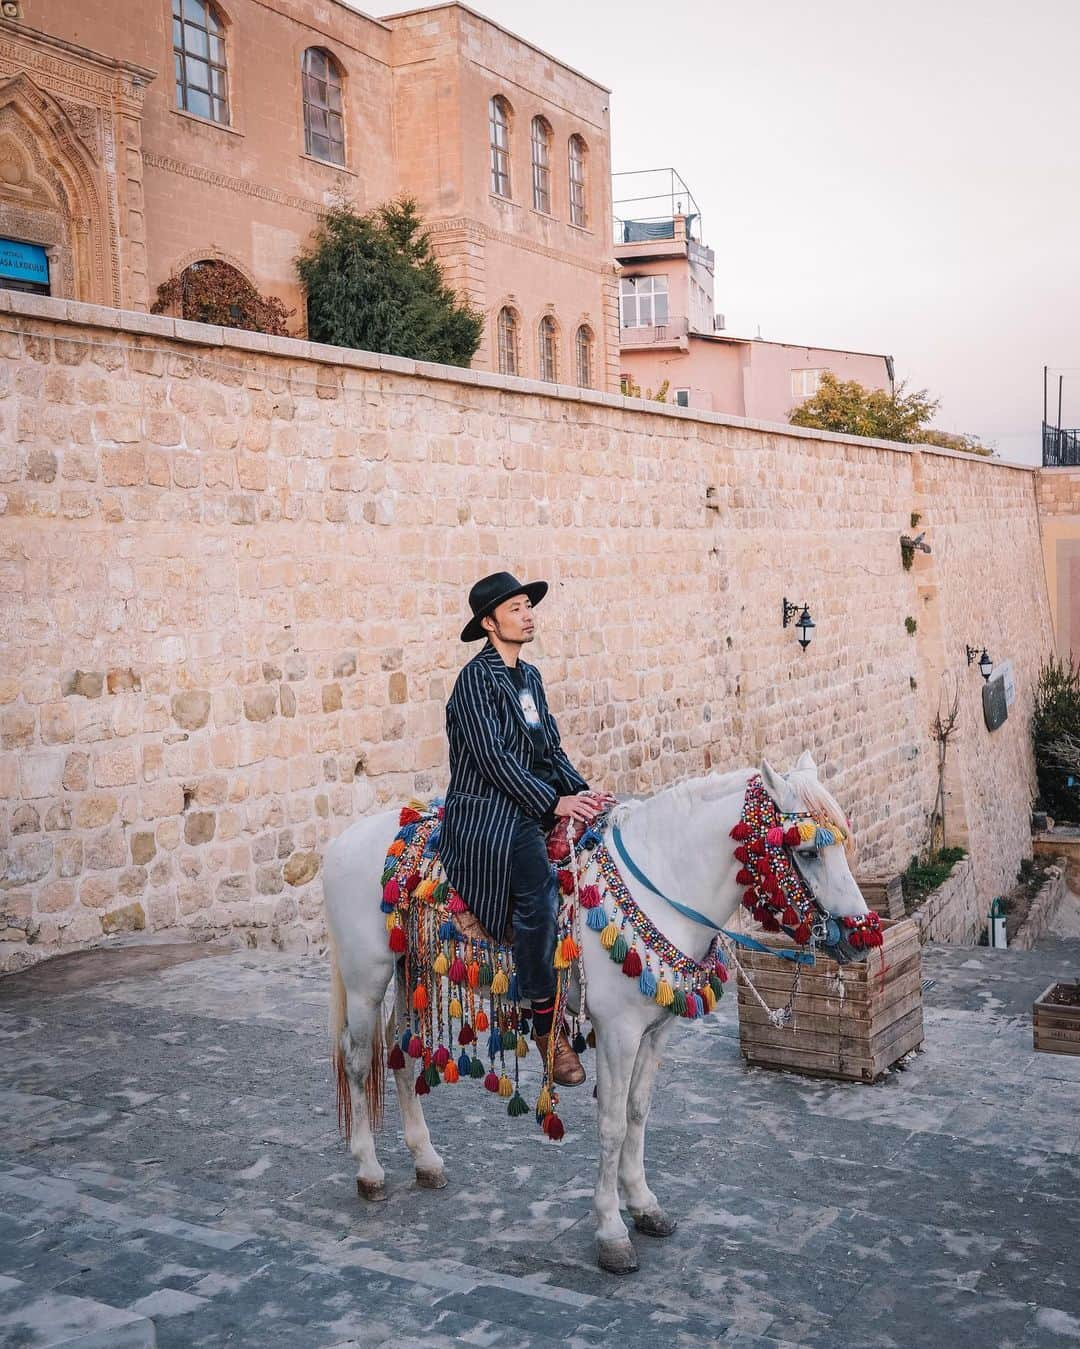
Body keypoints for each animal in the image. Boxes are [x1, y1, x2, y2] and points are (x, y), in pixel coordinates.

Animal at [324, 755, 873, 1268]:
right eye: (806, 851)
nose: (861, 936)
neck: (664, 880)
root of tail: (342, 842)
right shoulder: (619, 1033)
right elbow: (610, 1123)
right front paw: (611, 1231)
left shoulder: (656, 1030)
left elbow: (637, 1112)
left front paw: (645, 1205)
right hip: (367, 978)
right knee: (358, 1060)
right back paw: (369, 1171)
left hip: (410, 969)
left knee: (401, 1053)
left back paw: (426, 1160)